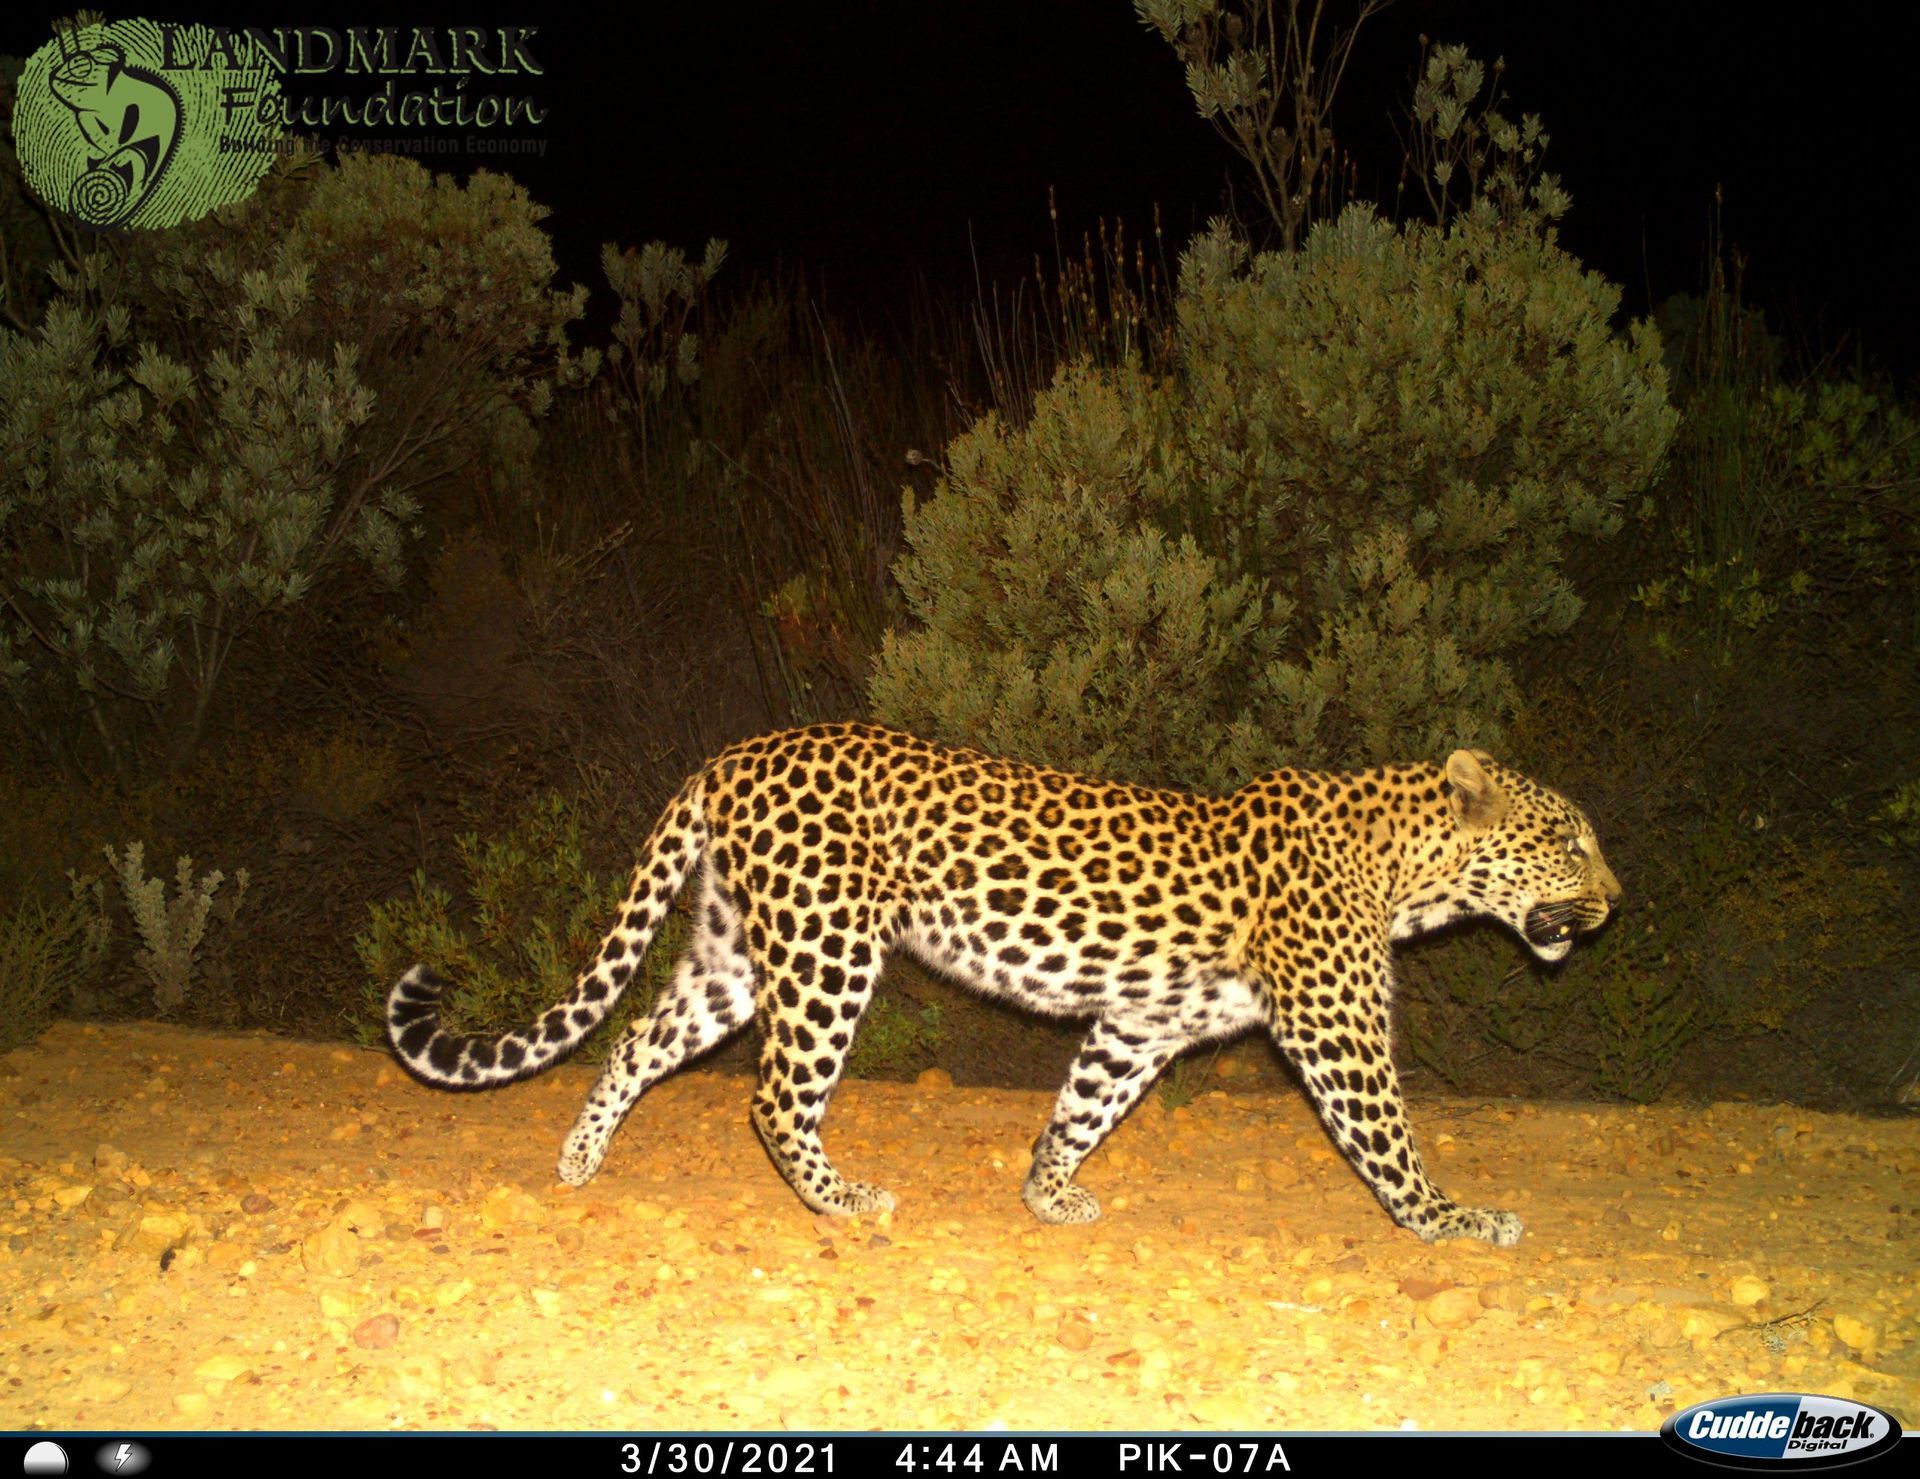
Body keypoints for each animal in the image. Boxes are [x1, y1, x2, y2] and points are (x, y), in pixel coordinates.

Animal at [387, 722, 1620, 1246]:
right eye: (1569, 840)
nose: (1616, 901)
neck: (1409, 870)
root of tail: (731, 753)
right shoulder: (1336, 1028)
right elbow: (1389, 1139)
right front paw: (1453, 1219)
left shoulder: (1142, 1020)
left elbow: (1083, 1106)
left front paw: (1046, 1192)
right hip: (830, 949)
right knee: (774, 1097)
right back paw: (844, 1201)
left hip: (737, 952)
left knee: (636, 1039)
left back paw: (578, 1161)